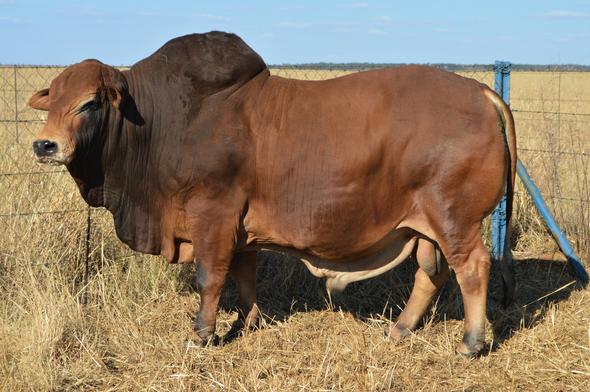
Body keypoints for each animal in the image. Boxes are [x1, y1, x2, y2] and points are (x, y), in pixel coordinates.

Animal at [30, 31, 516, 356]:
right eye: (51, 100)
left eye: (90, 102)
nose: (44, 145)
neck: (160, 122)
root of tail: (480, 92)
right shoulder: (241, 231)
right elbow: (244, 277)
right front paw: (248, 322)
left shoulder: (213, 217)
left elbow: (210, 278)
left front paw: (202, 335)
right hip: (425, 227)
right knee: (431, 274)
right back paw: (399, 329)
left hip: (454, 220)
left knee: (472, 268)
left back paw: (471, 342)